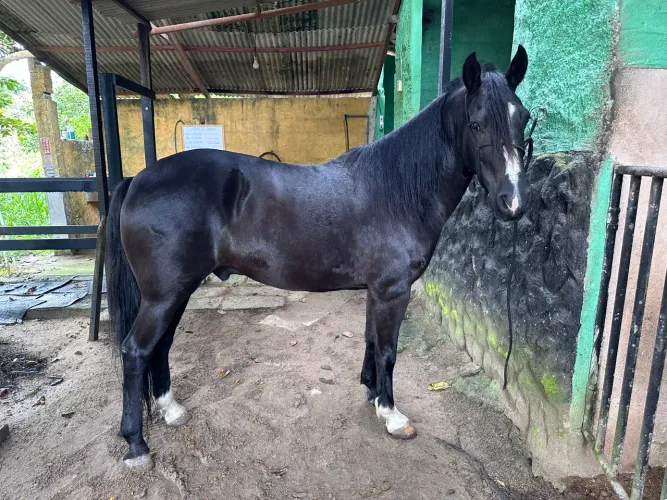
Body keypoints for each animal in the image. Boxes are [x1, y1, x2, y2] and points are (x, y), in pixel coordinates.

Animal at [106, 47, 532, 470]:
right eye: (476, 124)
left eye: (524, 118)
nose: (513, 203)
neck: (396, 191)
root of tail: (137, 179)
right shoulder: (393, 292)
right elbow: (389, 351)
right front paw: (392, 414)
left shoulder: (376, 291)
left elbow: (371, 341)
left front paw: (371, 393)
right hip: (163, 297)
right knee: (136, 351)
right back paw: (136, 445)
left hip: (176, 292)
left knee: (160, 347)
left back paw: (171, 410)